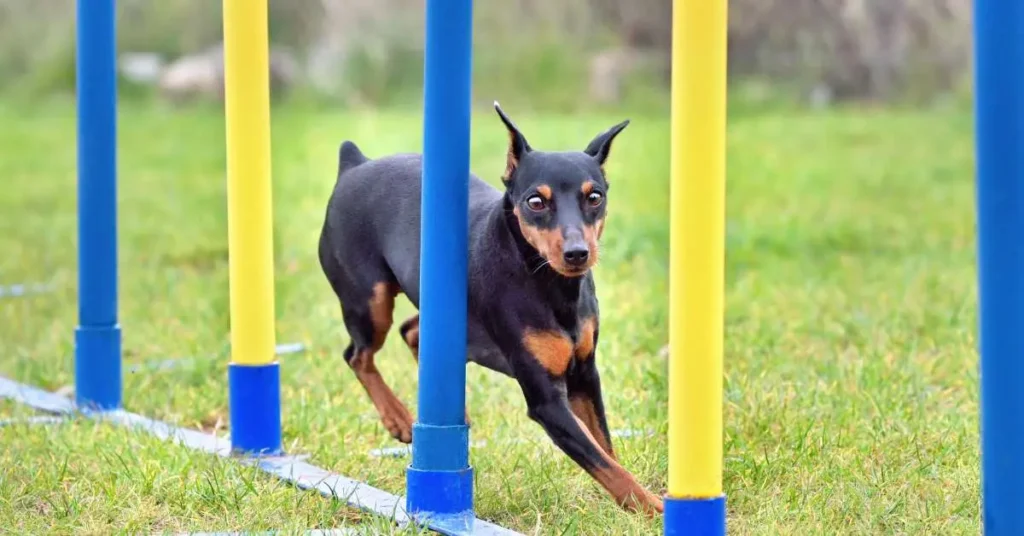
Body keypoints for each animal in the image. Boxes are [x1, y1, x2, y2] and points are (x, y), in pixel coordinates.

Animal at [315, 102, 659, 514]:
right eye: (535, 201)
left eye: (595, 197)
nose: (578, 253)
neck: (549, 283)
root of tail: (354, 164)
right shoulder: (547, 402)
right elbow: (604, 463)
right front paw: (654, 508)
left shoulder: (584, 376)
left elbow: (606, 450)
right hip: (371, 302)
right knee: (358, 354)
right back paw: (398, 418)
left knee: (412, 332)